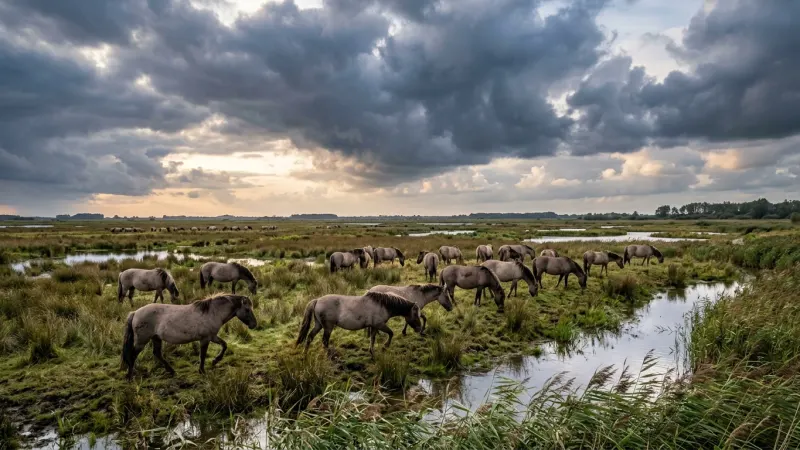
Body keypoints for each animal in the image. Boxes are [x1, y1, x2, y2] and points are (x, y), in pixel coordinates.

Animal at [121, 295, 257, 379]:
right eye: (247, 309)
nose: (254, 324)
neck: (212, 312)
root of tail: (135, 313)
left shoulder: (212, 336)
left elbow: (224, 345)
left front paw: (215, 360)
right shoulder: (205, 339)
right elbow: (203, 355)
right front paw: (202, 371)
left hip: (156, 338)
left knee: (157, 354)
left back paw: (172, 371)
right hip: (141, 341)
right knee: (133, 355)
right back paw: (130, 375)